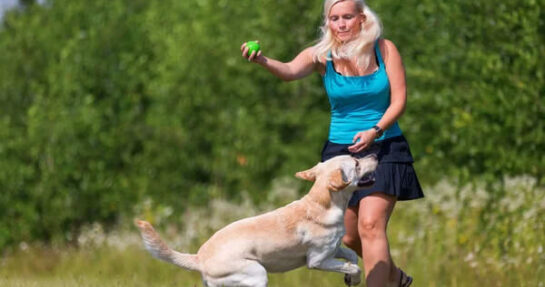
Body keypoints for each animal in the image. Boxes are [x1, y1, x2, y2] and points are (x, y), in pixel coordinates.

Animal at [134, 155, 376, 287]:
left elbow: (351, 256)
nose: (374, 155)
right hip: (257, 274)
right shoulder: (317, 261)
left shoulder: (333, 249)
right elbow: (353, 266)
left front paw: (351, 280)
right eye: (356, 163)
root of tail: (199, 258)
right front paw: (353, 276)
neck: (322, 204)